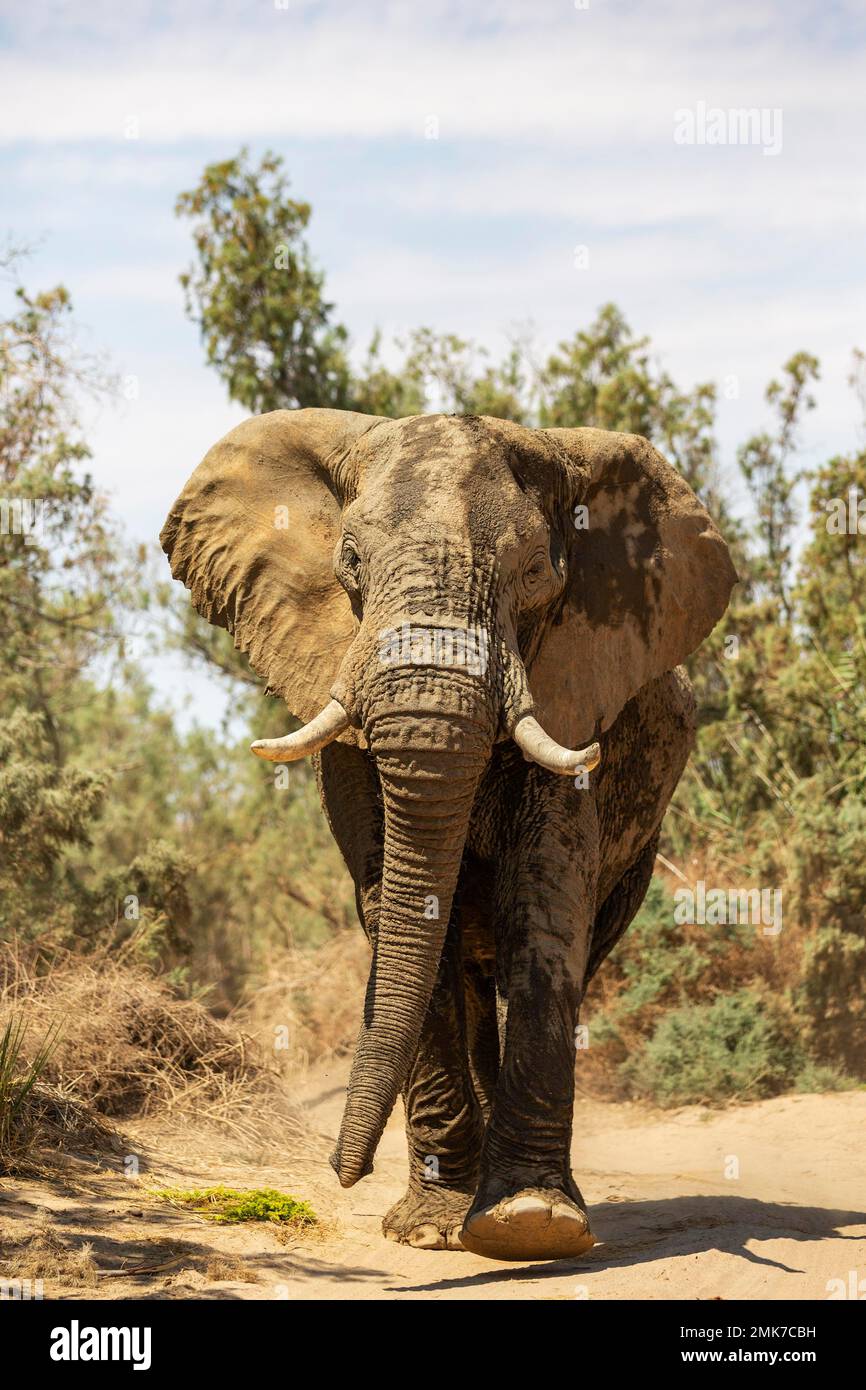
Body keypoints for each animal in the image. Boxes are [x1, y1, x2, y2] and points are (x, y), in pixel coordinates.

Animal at [159, 405, 733, 1267]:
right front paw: (431, 1228)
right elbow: (398, 909)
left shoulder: (572, 690)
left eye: (532, 573)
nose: (343, 1173)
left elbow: (544, 905)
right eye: (351, 563)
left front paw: (530, 1223)